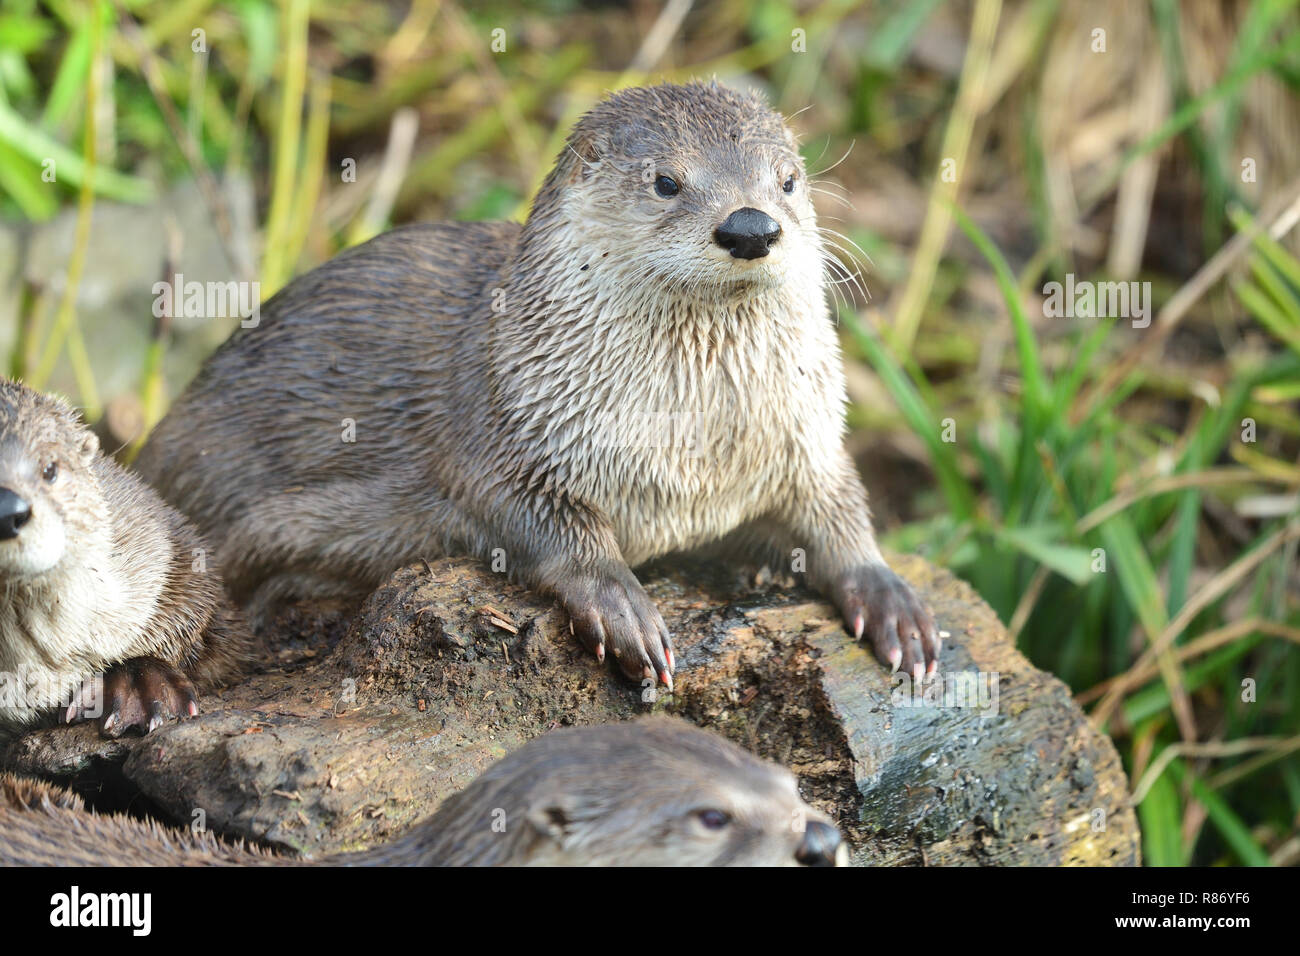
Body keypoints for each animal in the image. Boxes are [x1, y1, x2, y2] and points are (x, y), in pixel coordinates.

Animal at [137, 82, 941, 691]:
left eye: (788, 180)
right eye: (666, 181)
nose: (751, 226)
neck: (692, 446)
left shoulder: (805, 440)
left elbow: (839, 512)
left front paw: (889, 596)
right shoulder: (505, 429)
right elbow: (537, 522)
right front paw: (622, 604)